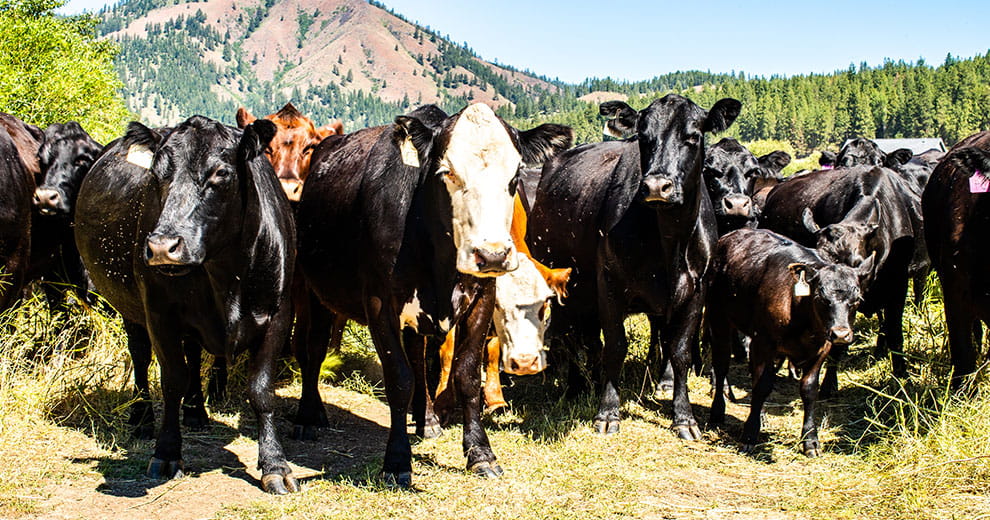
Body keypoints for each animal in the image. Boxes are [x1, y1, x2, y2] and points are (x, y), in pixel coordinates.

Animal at [75, 116, 300, 494]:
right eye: (156, 172)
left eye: (221, 173)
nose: (162, 246)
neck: (226, 274)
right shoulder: (159, 313)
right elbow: (172, 380)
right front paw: (167, 452)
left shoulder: (279, 314)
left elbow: (260, 389)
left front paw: (274, 464)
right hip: (130, 308)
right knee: (140, 357)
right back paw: (142, 419)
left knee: (193, 354)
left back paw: (195, 411)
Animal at [294, 103, 572, 485]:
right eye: (446, 171)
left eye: (516, 175)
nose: (493, 255)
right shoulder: (379, 304)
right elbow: (399, 378)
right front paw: (397, 461)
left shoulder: (481, 298)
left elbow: (465, 374)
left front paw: (480, 453)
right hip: (315, 291)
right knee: (315, 347)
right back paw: (309, 416)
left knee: (416, 354)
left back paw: (426, 420)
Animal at [528, 94, 741, 438]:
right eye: (643, 137)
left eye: (693, 137)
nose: (656, 186)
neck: (670, 243)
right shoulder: (610, 285)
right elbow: (616, 346)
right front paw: (607, 412)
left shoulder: (696, 292)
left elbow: (680, 351)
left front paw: (684, 417)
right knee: (572, 336)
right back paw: (576, 386)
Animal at [708, 228, 869, 456]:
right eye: (820, 297)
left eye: (857, 300)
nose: (840, 334)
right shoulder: (763, 342)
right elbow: (762, 386)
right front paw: (749, 435)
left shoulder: (821, 348)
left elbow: (809, 390)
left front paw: (810, 440)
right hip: (719, 317)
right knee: (722, 365)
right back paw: (717, 412)